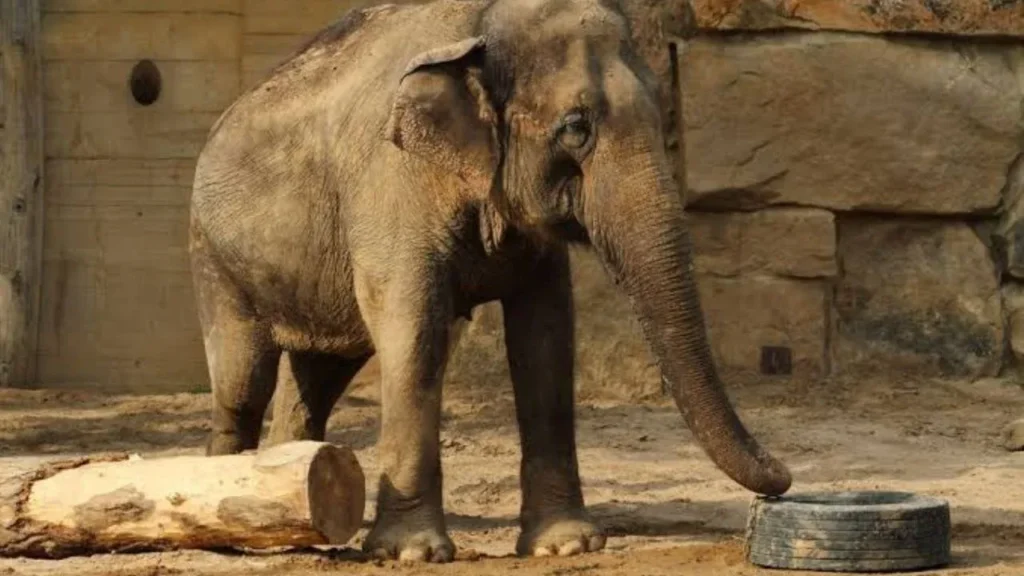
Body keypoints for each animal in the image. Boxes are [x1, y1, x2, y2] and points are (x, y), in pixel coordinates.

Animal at [188, 0, 792, 563]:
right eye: (576, 128)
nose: (783, 478)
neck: (482, 24)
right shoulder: (392, 187)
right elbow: (415, 334)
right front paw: (412, 553)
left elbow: (545, 340)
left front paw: (565, 546)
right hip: (214, 260)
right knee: (243, 381)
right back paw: (225, 514)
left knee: (316, 376)